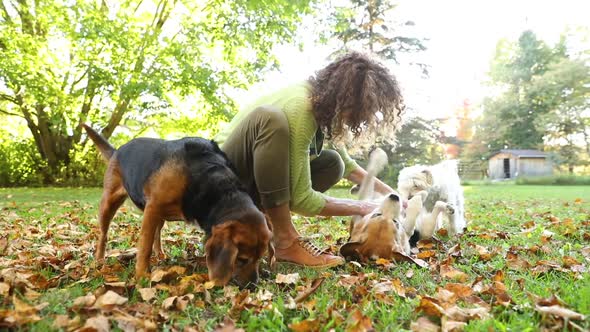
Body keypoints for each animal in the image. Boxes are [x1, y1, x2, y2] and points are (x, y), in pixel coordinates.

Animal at [84, 125, 274, 288]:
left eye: (260, 257)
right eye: (241, 259)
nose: (253, 286)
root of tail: (117, 151)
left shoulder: (155, 211)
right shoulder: (152, 209)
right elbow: (144, 248)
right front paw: (142, 276)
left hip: (157, 215)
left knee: (157, 234)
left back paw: (160, 254)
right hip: (109, 203)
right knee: (103, 235)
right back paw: (99, 260)